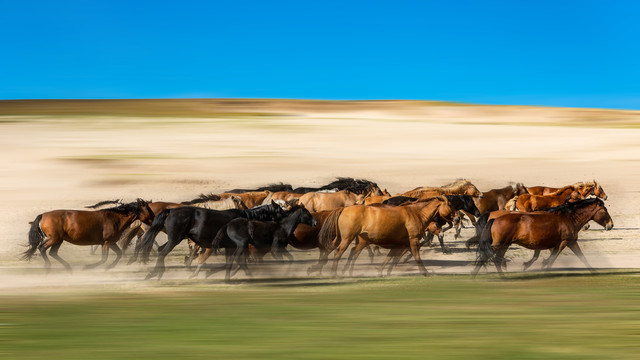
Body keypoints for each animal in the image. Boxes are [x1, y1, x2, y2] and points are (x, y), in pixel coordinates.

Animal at [23, 198, 155, 272]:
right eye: (148, 209)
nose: (155, 220)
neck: (114, 218)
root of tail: (43, 215)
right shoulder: (106, 243)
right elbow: (103, 259)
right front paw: (88, 267)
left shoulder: (111, 243)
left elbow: (119, 254)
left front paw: (109, 267)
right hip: (54, 238)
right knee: (42, 248)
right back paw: (48, 266)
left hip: (58, 240)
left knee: (52, 252)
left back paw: (68, 268)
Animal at [131, 201, 286, 280]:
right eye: (280, 209)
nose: (287, 217)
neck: (245, 219)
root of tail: (171, 211)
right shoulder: (235, 247)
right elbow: (236, 262)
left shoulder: (230, 247)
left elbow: (230, 263)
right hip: (175, 239)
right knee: (162, 252)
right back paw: (156, 274)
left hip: (173, 239)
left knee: (160, 250)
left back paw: (156, 274)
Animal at [472, 198, 612, 278]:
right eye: (604, 210)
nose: (611, 225)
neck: (568, 218)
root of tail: (494, 219)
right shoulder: (564, 242)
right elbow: (552, 258)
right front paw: (543, 271)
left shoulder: (569, 242)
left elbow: (581, 257)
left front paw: (594, 271)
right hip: (500, 245)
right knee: (490, 259)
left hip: (503, 245)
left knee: (492, 259)